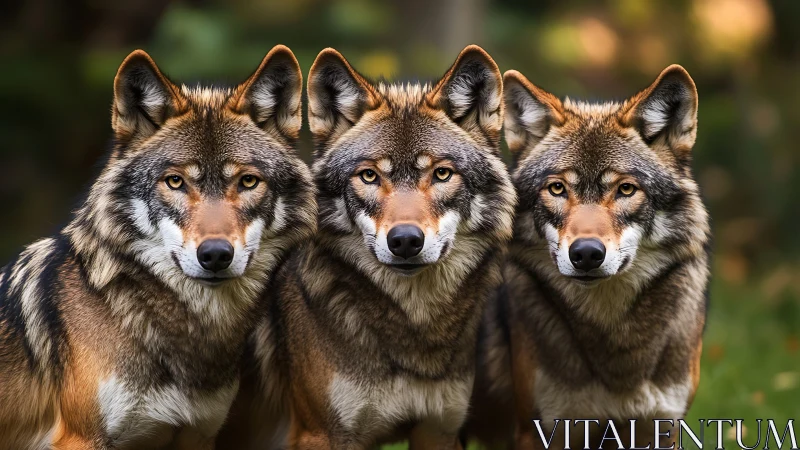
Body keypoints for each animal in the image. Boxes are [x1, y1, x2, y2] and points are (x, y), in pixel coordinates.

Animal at [217, 45, 516, 449]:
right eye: (369, 176)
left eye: (441, 174)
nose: (405, 240)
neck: (412, 329)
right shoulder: (322, 434)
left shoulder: (439, 431)